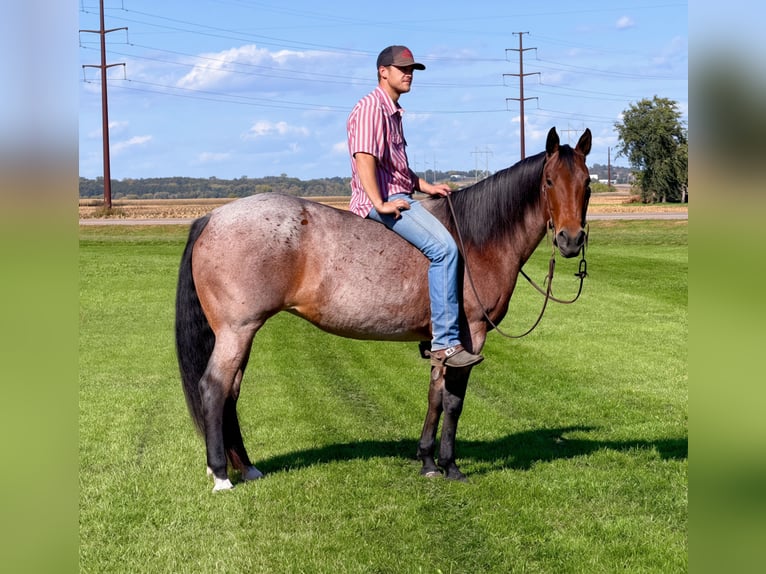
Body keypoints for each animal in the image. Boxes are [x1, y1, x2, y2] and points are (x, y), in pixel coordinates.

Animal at [175, 126, 592, 491]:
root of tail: (213, 217)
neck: (477, 239)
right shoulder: (470, 334)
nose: (570, 240)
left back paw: (246, 468)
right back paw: (222, 475)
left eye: (587, 183)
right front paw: (450, 465)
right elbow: (454, 401)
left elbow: (435, 397)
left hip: (241, 333)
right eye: (549, 181)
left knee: (231, 393)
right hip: (237, 330)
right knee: (214, 389)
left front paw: (427, 461)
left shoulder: (442, 342)